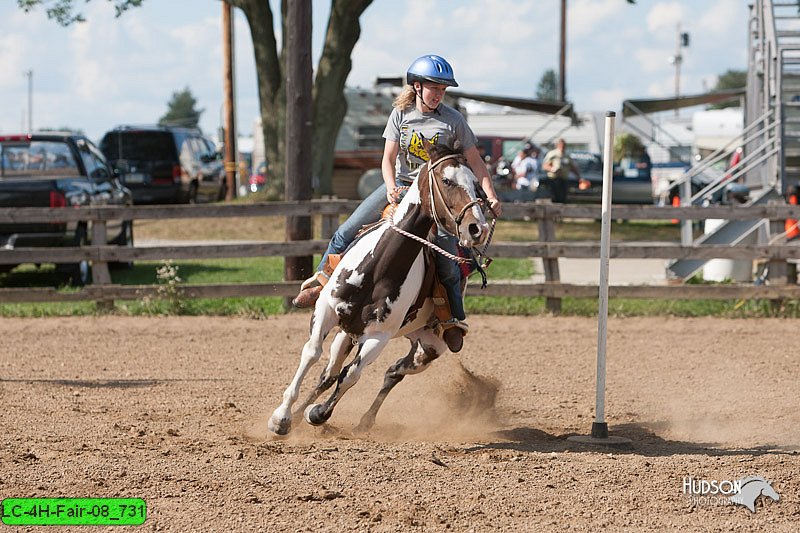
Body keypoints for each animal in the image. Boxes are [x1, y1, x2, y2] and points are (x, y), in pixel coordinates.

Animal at [268, 142, 490, 436]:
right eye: (447, 180)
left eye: (477, 184)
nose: (478, 228)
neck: (380, 266)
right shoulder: (327, 309)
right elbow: (312, 352)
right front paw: (282, 417)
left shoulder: (378, 337)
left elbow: (351, 375)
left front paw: (317, 414)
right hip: (347, 332)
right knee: (328, 374)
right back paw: (299, 413)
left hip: (429, 347)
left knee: (392, 373)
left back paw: (365, 420)